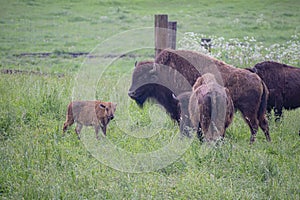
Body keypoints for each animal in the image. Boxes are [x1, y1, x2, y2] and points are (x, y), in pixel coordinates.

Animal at [127, 48, 270, 143]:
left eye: (145, 77)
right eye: (133, 75)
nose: (131, 93)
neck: (164, 72)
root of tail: (258, 79)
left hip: (248, 111)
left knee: (254, 126)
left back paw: (251, 144)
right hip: (258, 111)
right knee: (263, 124)